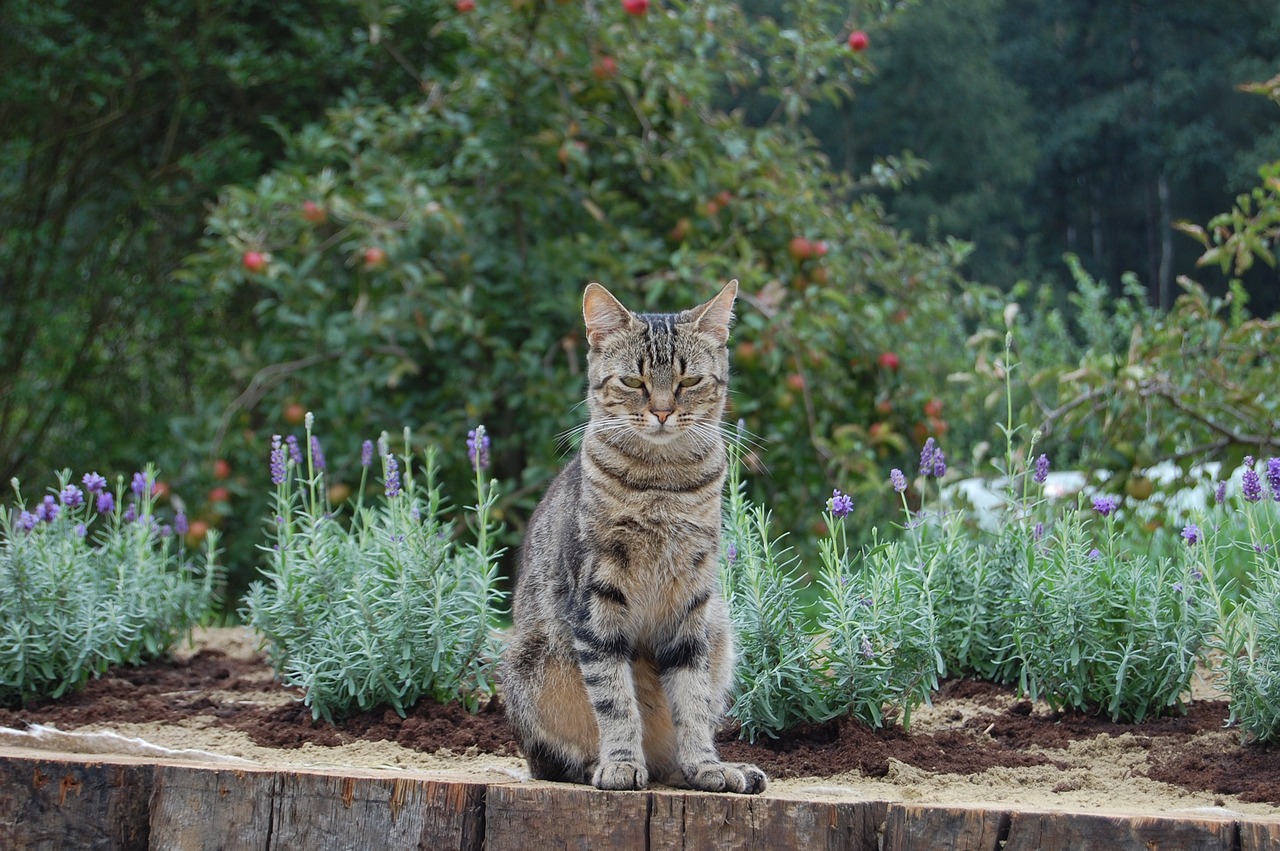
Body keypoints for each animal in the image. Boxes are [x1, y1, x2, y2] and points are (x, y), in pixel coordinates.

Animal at [499, 281, 762, 793]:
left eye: (688, 382)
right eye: (633, 382)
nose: (662, 411)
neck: (662, 485)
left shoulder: (691, 602)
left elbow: (693, 700)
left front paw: (706, 765)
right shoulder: (597, 598)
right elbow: (614, 698)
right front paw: (620, 763)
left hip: (720, 630)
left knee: (674, 752)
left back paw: (720, 769)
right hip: (528, 668)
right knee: (555, 762)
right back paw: (596, 766)